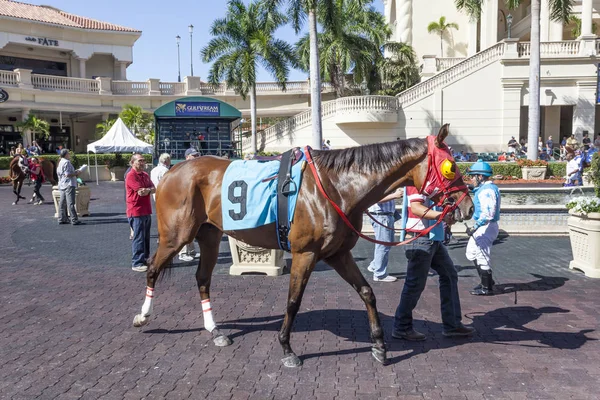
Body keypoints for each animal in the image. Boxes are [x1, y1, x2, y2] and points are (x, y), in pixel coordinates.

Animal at [134, 124, 476, 366]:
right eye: (450, 167)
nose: (468, 207)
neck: (335, 187)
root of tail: (173, 170)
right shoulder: (305, 253)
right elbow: (293, 301)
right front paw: (287, 348)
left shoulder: (338, 253)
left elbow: (367, 292)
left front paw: (379, 345)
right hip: (176, 235)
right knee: (152, 270)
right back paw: (143, 317)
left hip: (209, 234)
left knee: (203, 279)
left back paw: (215, 331)